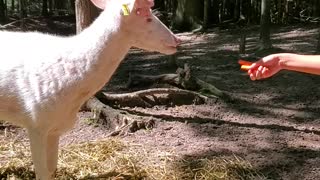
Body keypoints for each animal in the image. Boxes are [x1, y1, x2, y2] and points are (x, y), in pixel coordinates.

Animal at [0, 0, 180, 179]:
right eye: (147, 18)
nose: (177, 39)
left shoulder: (54, 128)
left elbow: (52, 169)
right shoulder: (35, 122)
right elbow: (42, 172)